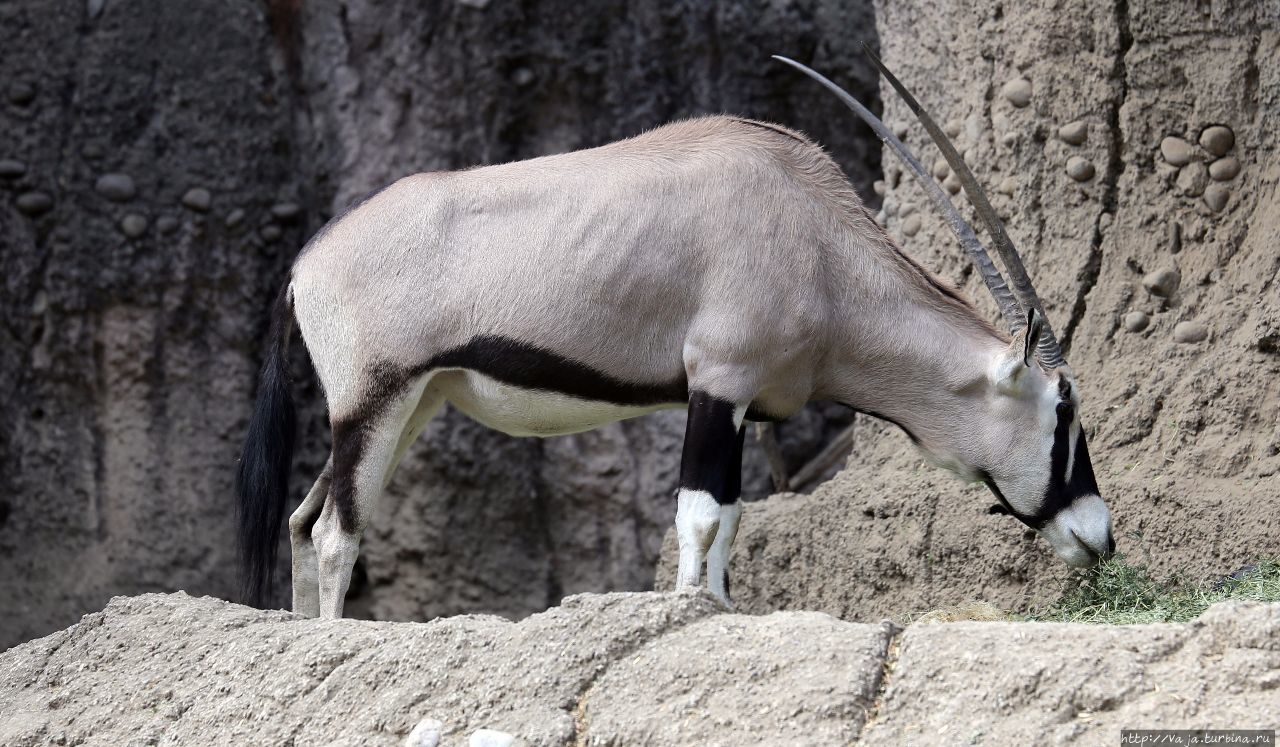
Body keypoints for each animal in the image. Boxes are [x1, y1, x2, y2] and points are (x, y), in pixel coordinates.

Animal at [238, 48, 1111, 619]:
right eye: (1063, 410)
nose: (1098, 536)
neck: (818, 244)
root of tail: (307, 263)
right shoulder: (717, 384)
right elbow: (700, 514)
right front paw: (692, 610)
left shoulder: (745, 405)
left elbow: (731, 517)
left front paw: (721, 608)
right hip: (375, 402)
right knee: (335, 532)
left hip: (409, 406)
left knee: (302, 520)